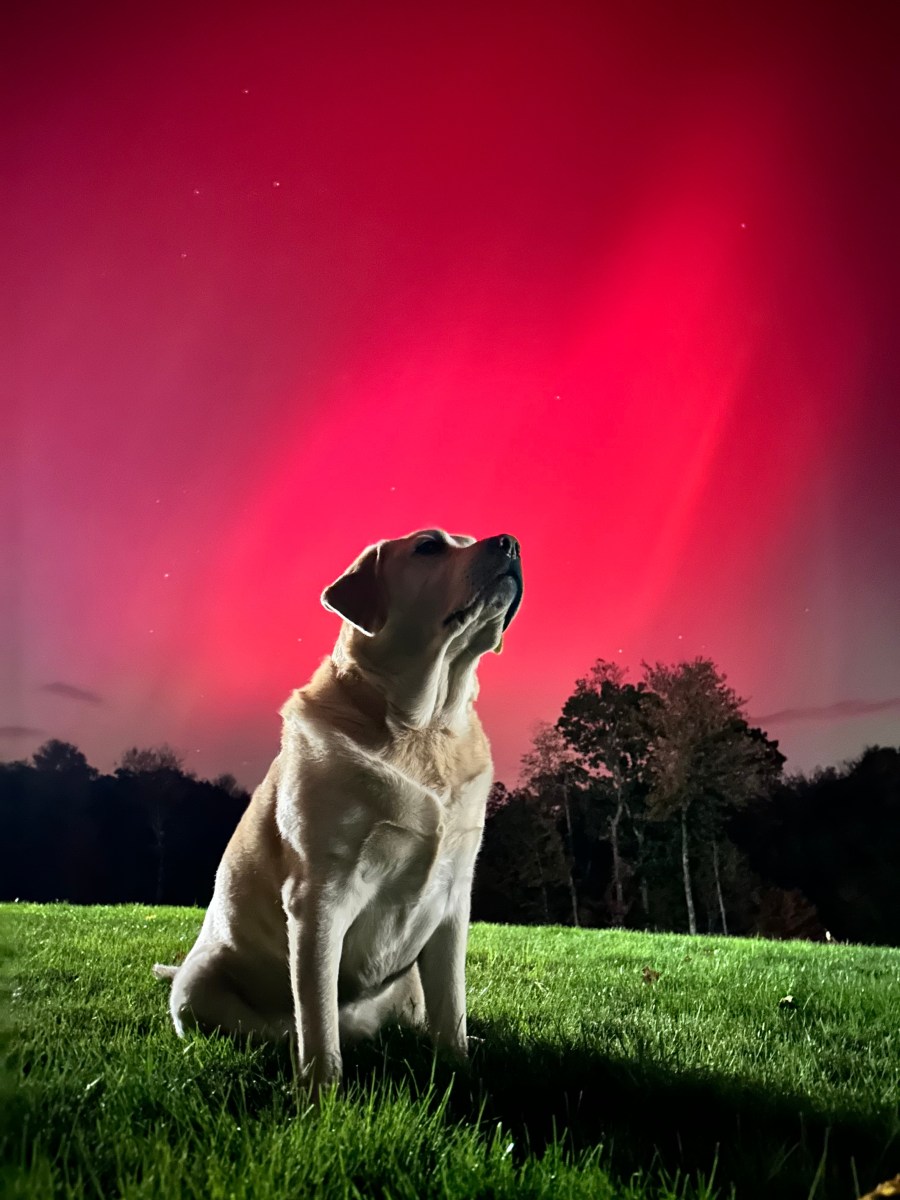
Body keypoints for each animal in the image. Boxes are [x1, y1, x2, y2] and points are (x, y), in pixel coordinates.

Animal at [153, 530, 520, 1094]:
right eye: (430, 546)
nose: (511, 543)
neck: (426, 726)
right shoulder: (321, 894)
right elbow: (317, 1011)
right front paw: (321, 1092)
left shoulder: (454, 897)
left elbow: (452, 1006)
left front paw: (460, 1068)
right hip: (198, 984)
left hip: (409, 986)